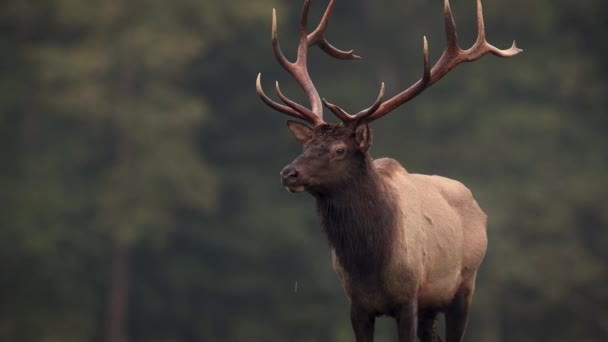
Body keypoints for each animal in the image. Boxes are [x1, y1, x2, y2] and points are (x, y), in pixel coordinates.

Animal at [254, 0, 520, 342]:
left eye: (340, 150)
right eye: (306, 145)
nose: (289, 173)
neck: (369, 265)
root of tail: (477, 205)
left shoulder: (408, 299)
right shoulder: (357, 305)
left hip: (464, 286)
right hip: (431, 307)